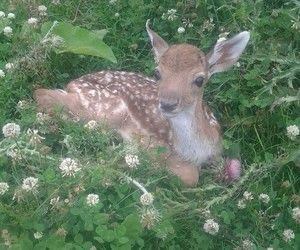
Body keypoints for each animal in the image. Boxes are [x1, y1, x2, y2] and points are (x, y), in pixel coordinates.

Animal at [35, 21, 250, 186]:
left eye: (199, 79)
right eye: (157, 73)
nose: (167, 104)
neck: (194, 150)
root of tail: (74, 83)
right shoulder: (152, 144)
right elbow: (190, 176)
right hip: (104, 109)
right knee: (42, 95)